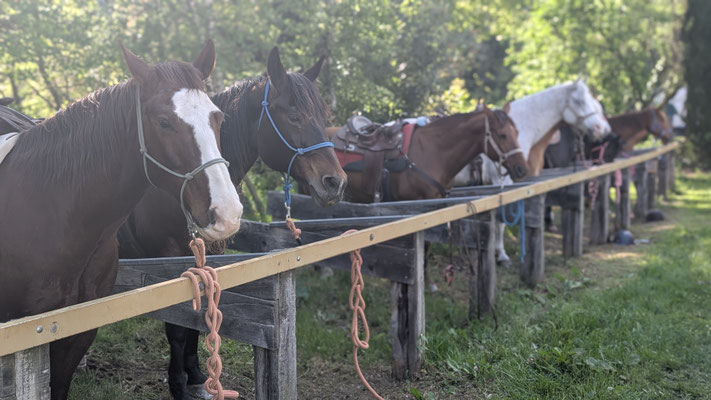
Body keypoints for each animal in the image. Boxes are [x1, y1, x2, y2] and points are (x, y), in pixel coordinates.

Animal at [117, 47, 346, 400]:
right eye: (294, 117)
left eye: (324, 117)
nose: (334, 182)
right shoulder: (170, 261)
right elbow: (178, 328)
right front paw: (179, 385)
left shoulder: (206, 254)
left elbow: (198, 322)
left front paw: (198, 376)